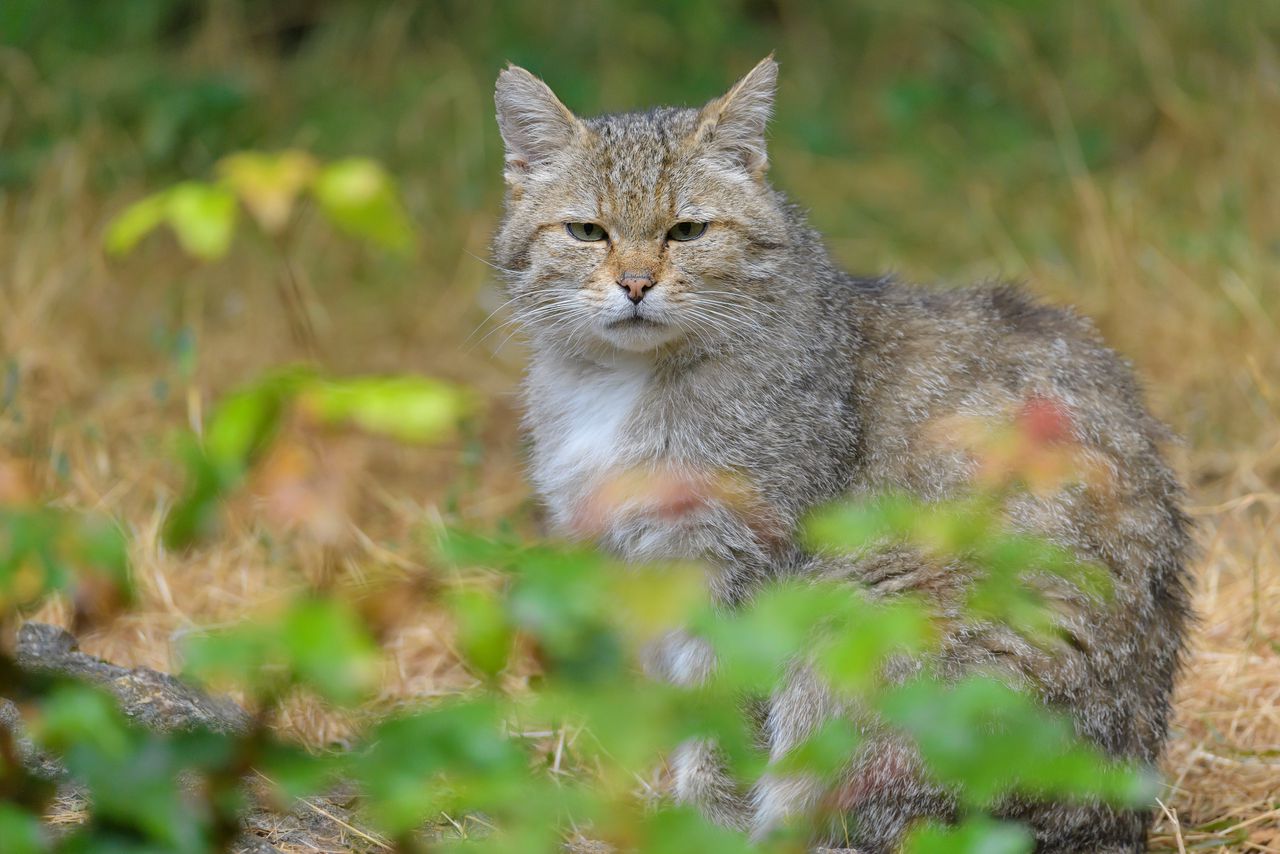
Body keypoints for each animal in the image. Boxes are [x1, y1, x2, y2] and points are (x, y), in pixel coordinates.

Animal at [486, 56, 1187, 850]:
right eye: (587, 231)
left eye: (687, 230)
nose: (636, 284)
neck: (619, 384)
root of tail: (1116, 817)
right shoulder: (646, 577)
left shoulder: (740, 575)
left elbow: (721, 740)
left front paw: (703, 829)